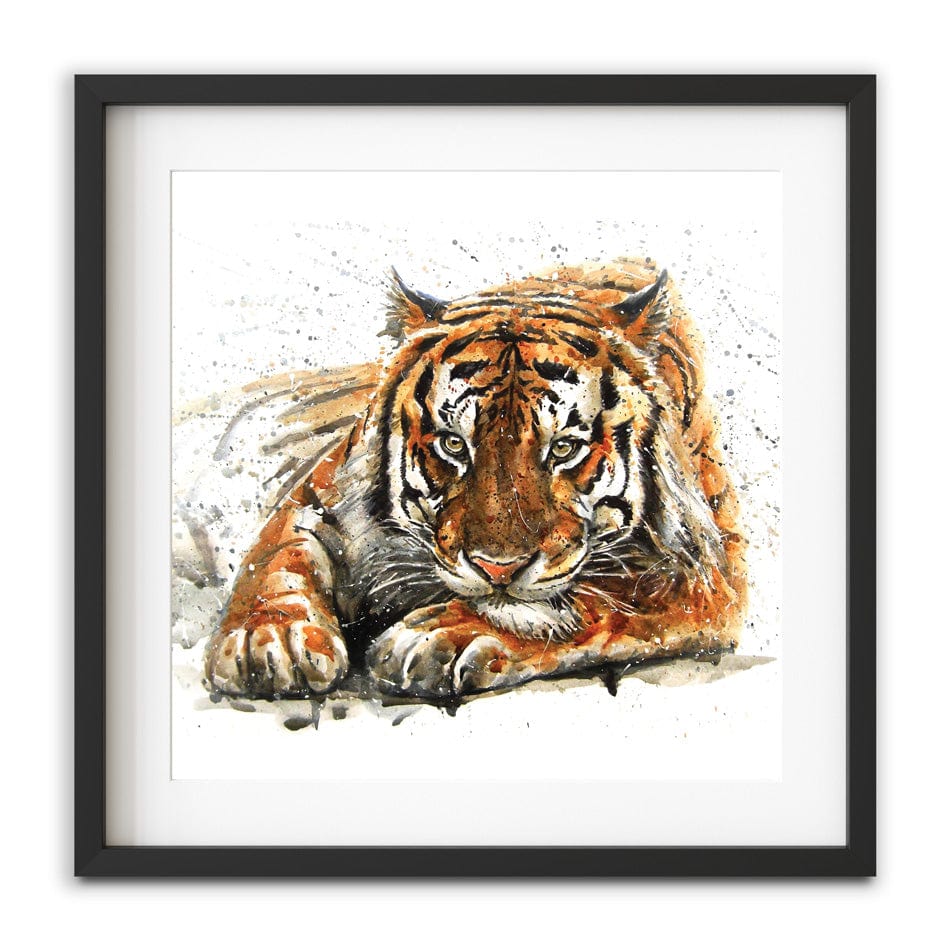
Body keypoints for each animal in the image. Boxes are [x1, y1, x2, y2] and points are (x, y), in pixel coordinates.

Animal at [204, 256, 747, 702]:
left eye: (564, 449)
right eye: (453, 444)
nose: (497, 570)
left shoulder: (705, 570)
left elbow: (598, 598)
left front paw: (444, 635)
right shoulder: (320, 492)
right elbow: (277, 556)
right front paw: (268, 638)